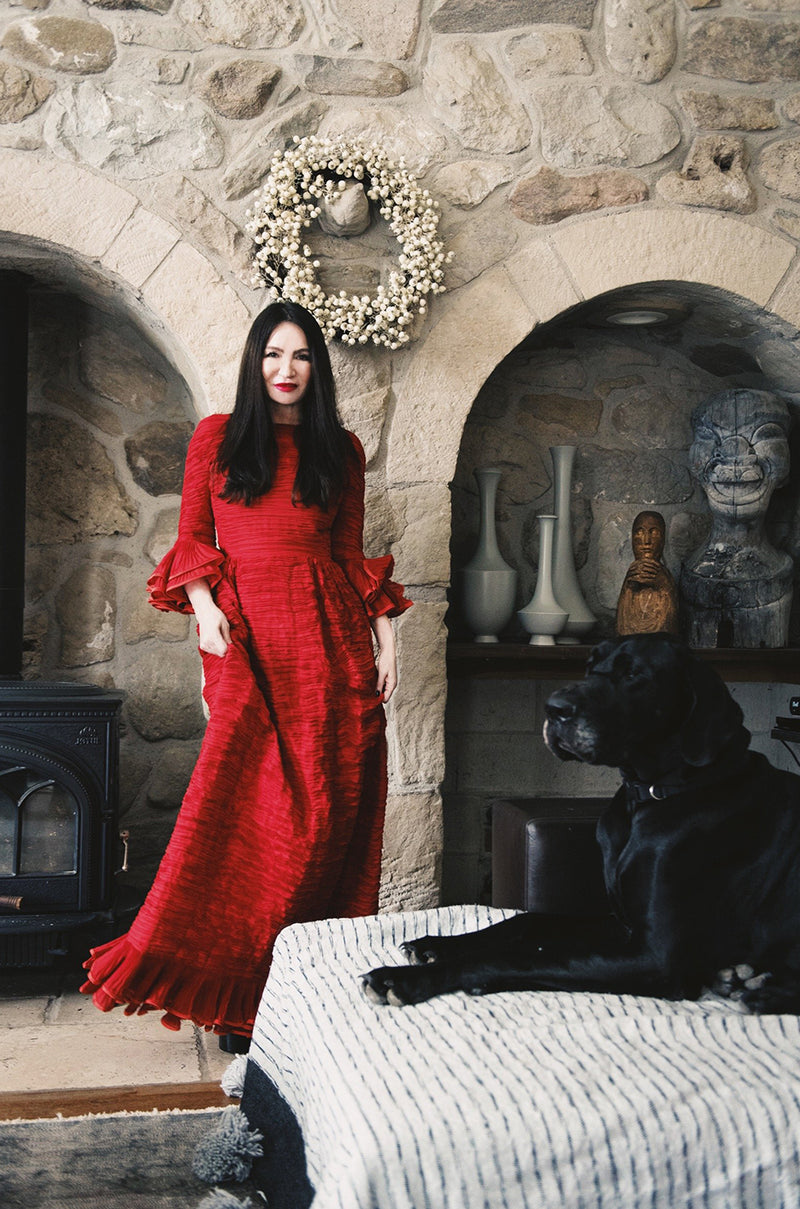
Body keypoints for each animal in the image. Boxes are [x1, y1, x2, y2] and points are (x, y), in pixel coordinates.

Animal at [364, 633, 800, 1010]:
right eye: (590, 666)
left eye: (634, 674)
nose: (554, 708)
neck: (648, 798)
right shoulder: (620, 923)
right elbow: (524, 922)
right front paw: (435, 944)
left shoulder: (656, 956)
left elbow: (524, 957)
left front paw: (403, 978)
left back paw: (753, 990)